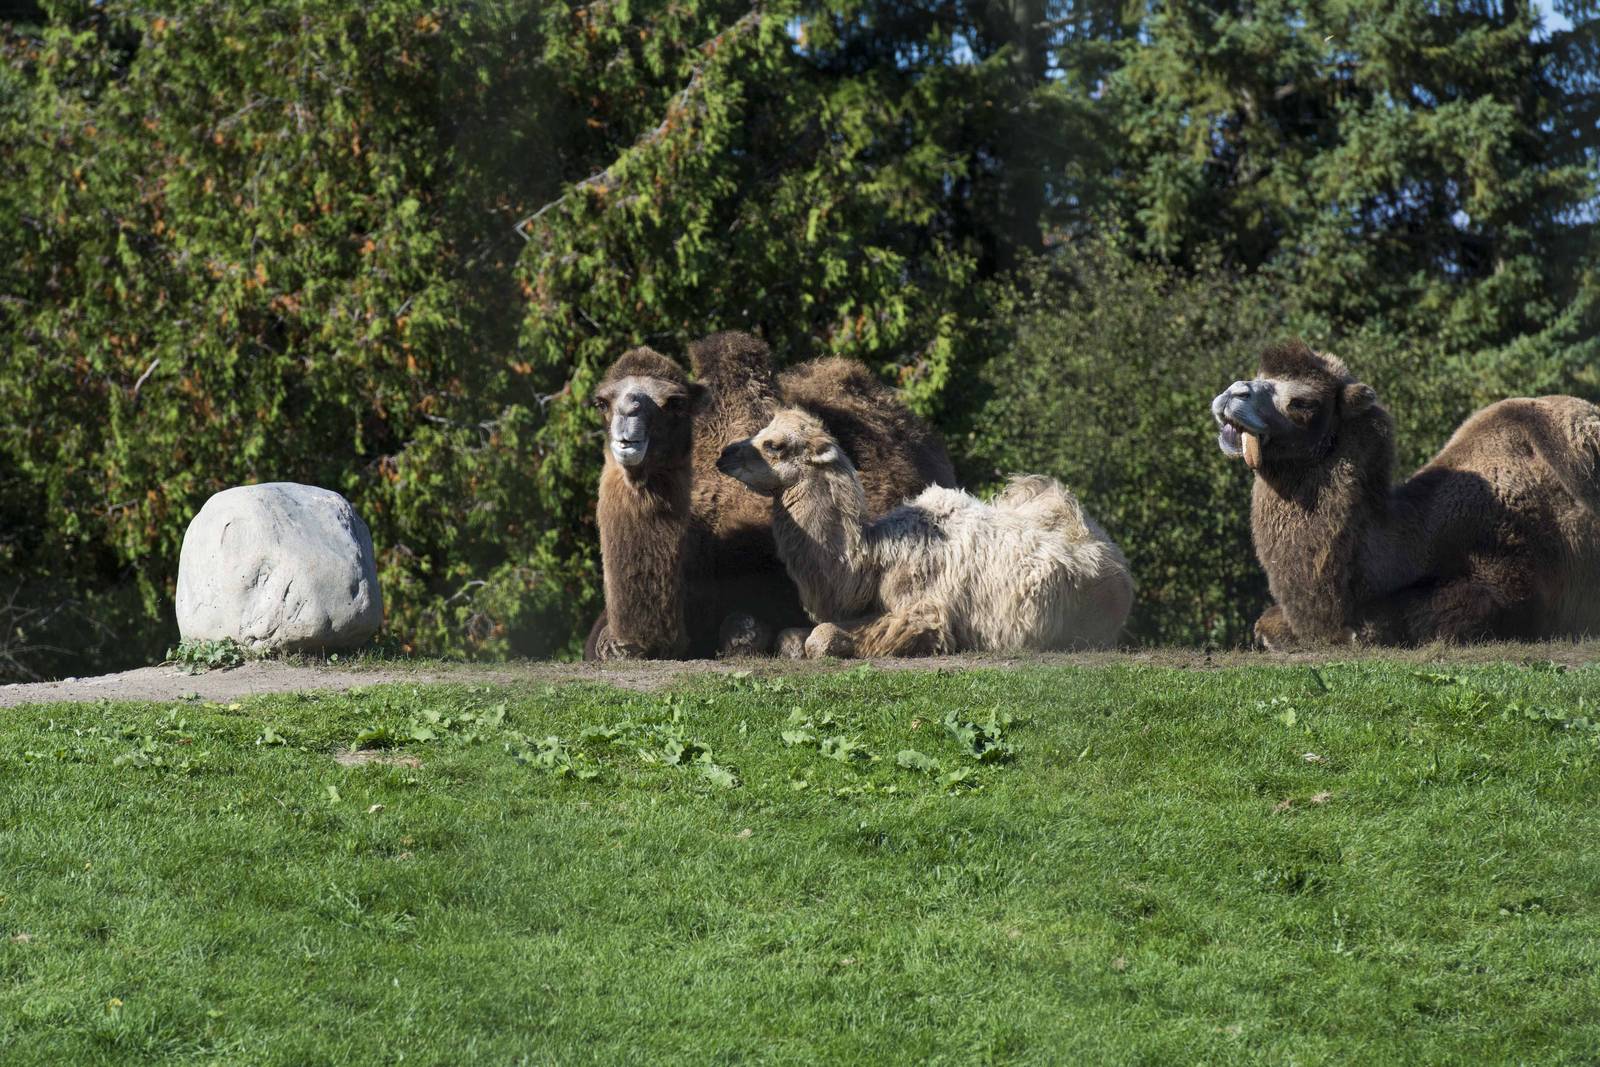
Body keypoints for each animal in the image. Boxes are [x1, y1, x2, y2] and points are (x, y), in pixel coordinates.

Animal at [716, 408, 1134, 656]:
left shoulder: (926, 614)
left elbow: (823, 638)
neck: (871, 561)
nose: (724, 455)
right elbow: (791, 636)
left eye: (774, 444)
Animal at [1212, 340, 1600, 649]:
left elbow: (1394, 624)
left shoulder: (1509, 581)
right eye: (1260, 375)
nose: (1231, 394)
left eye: (1303, 403)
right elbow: (1266, 624)